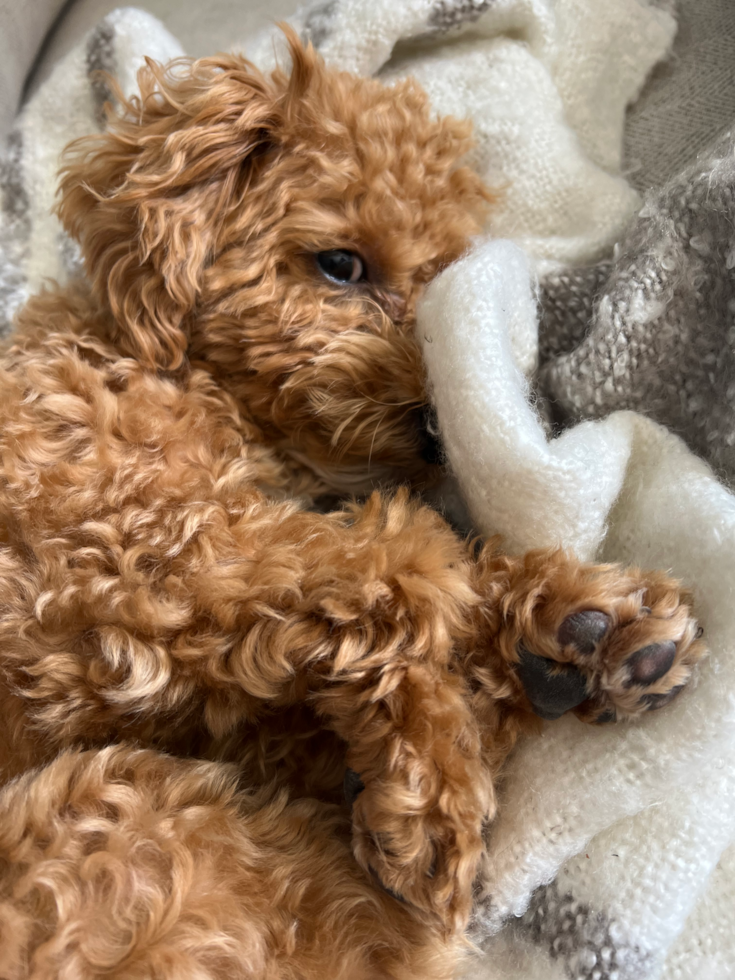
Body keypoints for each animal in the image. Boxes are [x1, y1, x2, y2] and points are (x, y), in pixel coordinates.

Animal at [0, 30, 708, 980]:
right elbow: (402, 560)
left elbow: (402, 586)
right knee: (382, 921)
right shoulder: (132, 558)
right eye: (341, 264)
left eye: (441, 281)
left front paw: (575, 621)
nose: (440, 429)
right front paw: (435, 786)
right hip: (121, 819)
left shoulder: (207, 678)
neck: (155, 365)